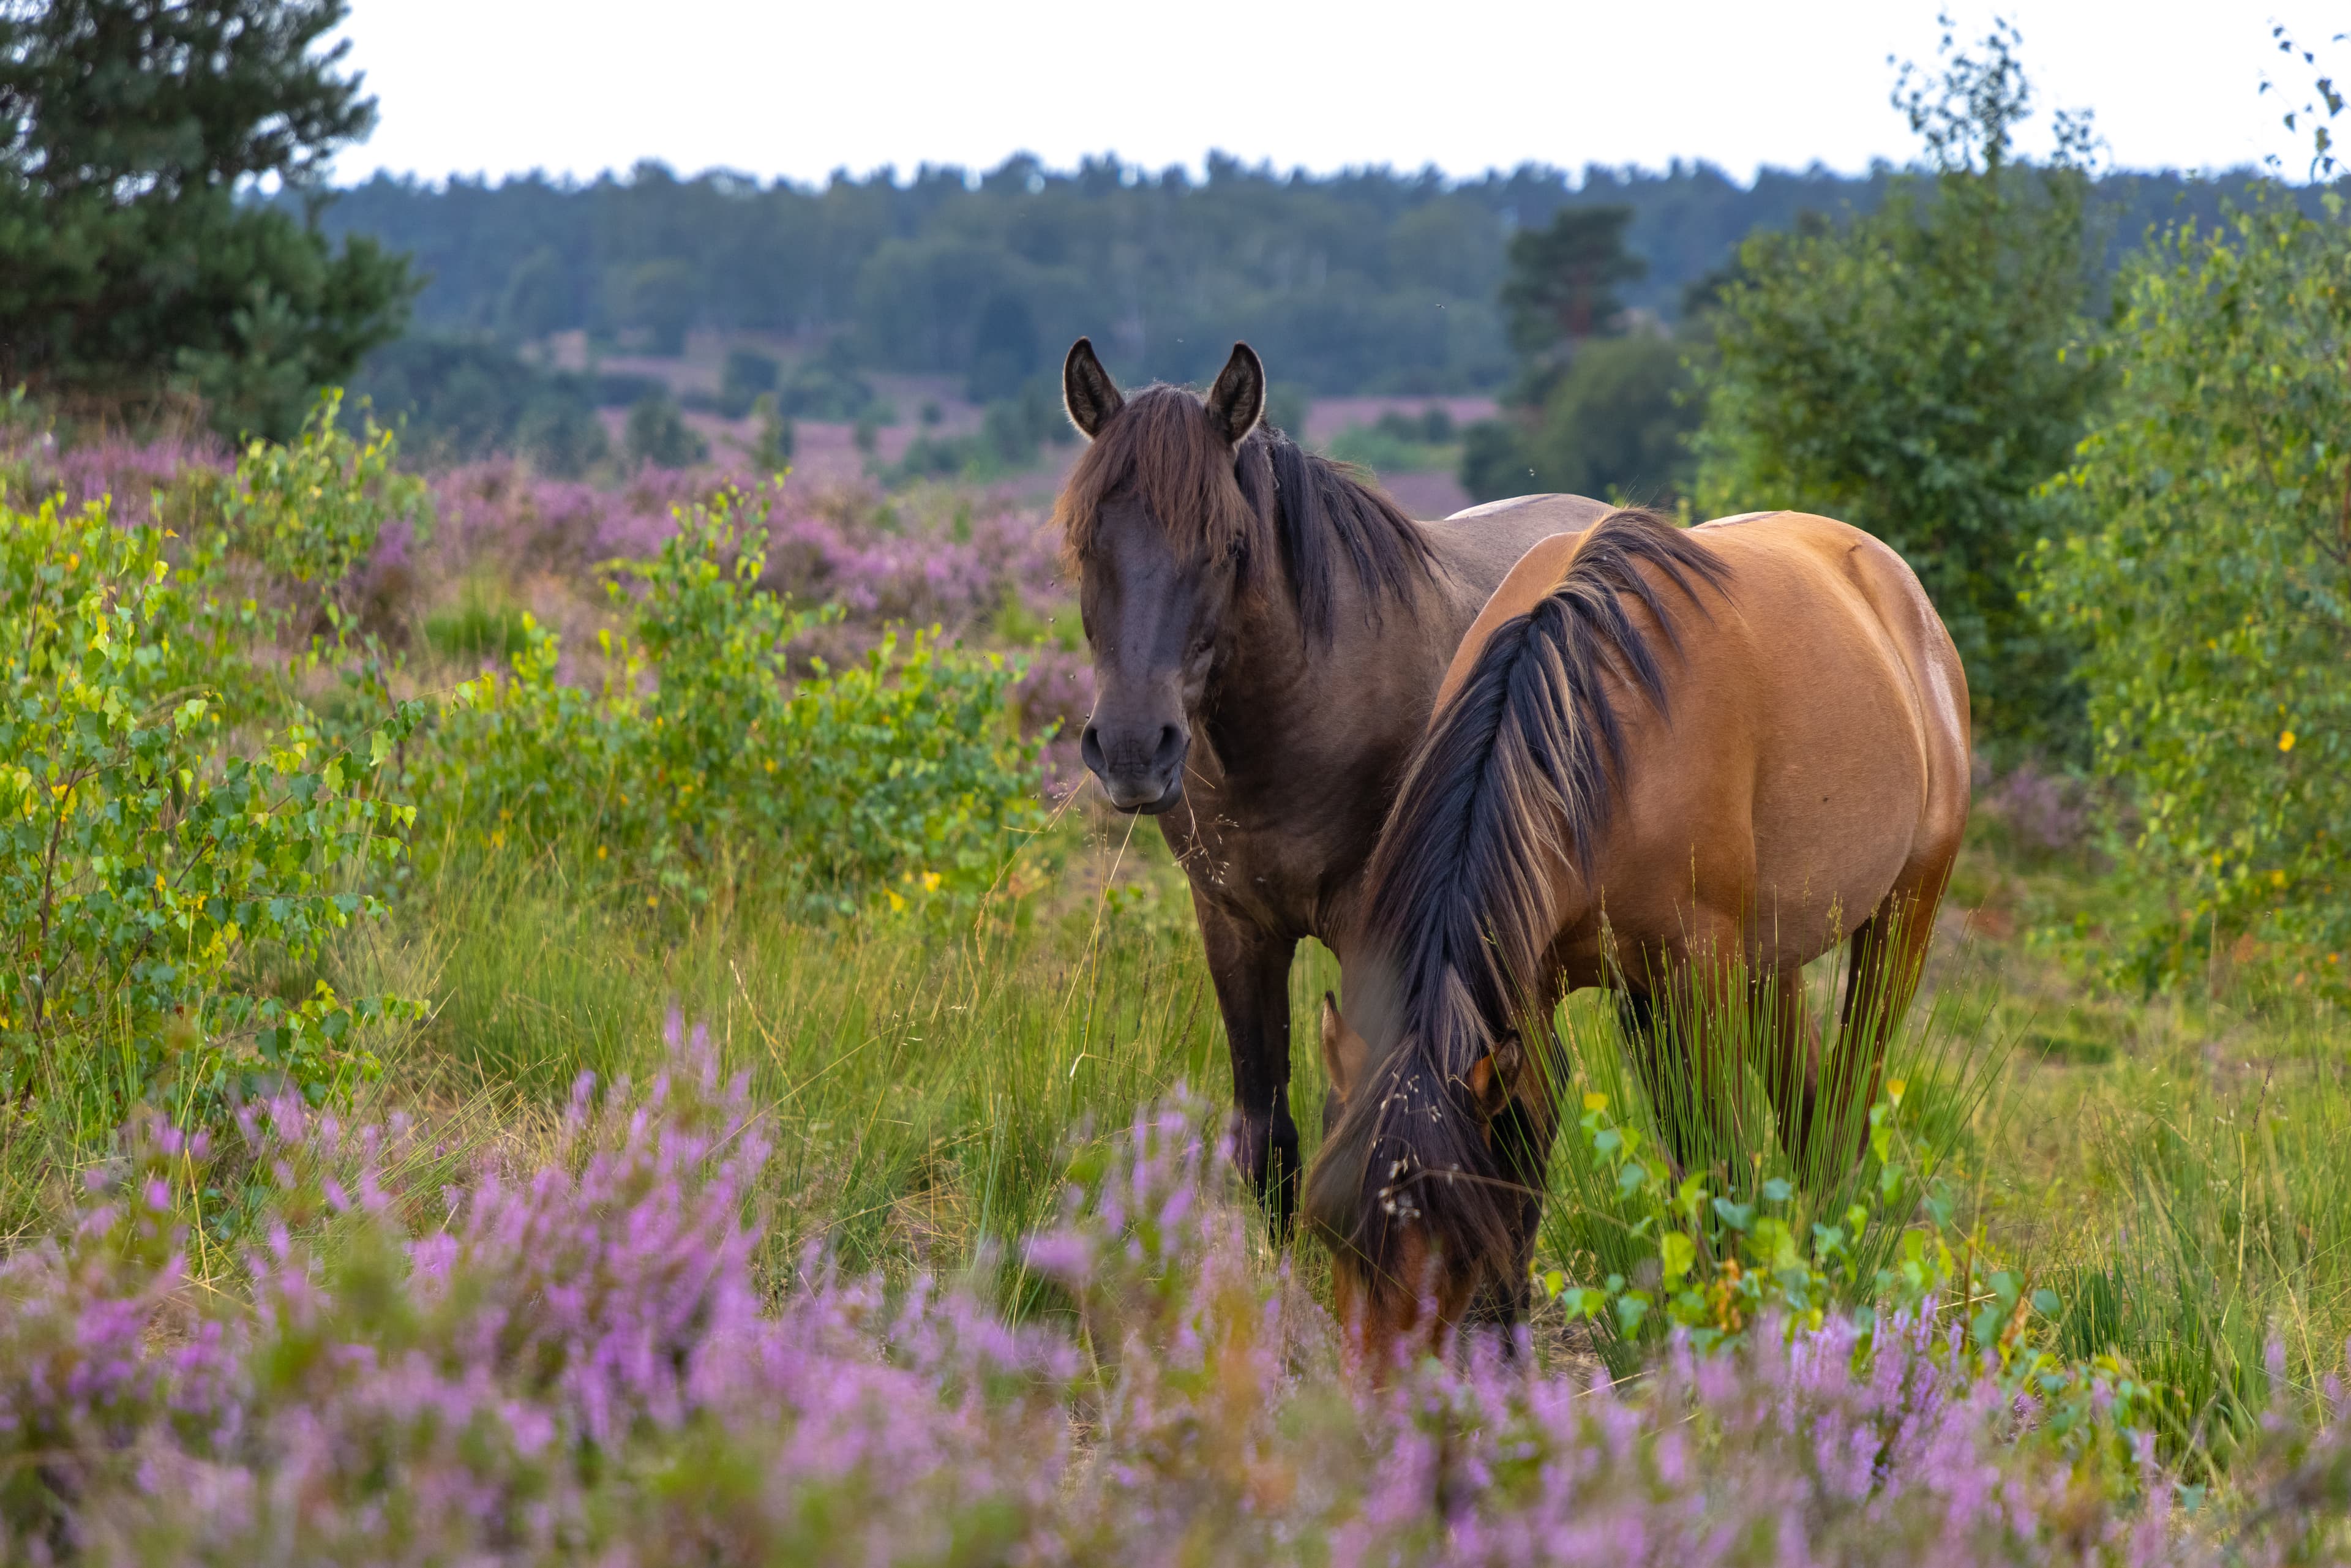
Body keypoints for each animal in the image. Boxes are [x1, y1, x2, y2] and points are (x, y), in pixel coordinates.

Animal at [1053, 338, 1617, 1231]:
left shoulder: (1370, 930)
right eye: (1085, 544)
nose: (1135, 749)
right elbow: (1267, 1132)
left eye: (1227, 546)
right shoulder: (1234, 923)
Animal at [1307, 505, 1965, 1363]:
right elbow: (1531, 1147)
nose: (1379, 1386)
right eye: (1329, 1227)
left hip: (1900, 919)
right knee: (1807, 1104)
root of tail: (1901, 595)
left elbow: (1717, 1158)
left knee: (1847, 1100)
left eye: (1451, 1239)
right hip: (1766, 963)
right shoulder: (1533, 990)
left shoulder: (1701, 977)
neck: (1589, 714)